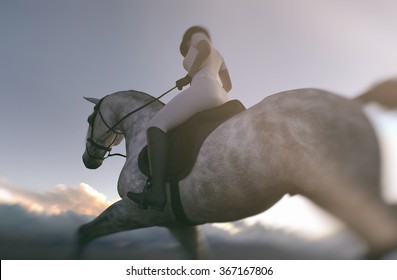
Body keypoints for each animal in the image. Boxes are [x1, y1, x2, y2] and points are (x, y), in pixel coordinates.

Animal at [77, 88, 396, 260]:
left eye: (90, 118)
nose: (88, 160)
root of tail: (354, 101)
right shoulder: (177, 223)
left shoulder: (133, 210)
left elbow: (85, 232)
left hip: (342, 193)